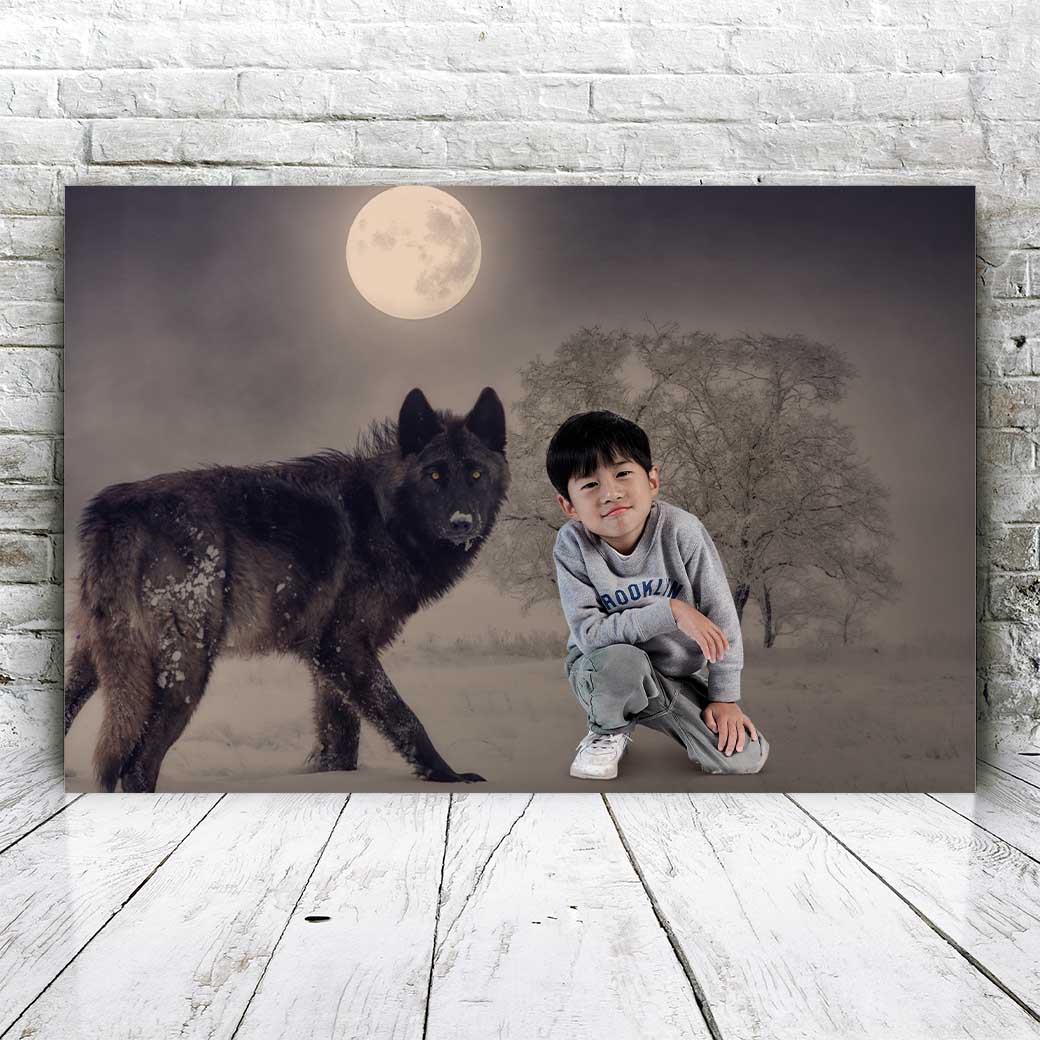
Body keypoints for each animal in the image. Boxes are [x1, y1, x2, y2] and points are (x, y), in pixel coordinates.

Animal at [64, 387, 509, 792]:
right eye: (434, 474)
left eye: (476, 474)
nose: (462, 522)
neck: (385, 517)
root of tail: (116, 511)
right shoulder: (343, 647)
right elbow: (405, 718)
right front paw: (450, 777)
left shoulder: (326, 664)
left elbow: (340, 742)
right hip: (186, 671)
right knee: (137, 766)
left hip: (96, 660)